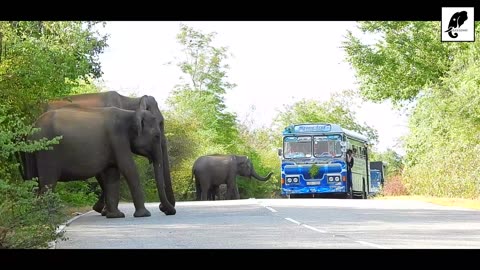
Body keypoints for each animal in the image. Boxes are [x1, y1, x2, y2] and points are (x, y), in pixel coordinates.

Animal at [20, 105, 176, 217]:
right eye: (156, 136)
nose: (166, 210)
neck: (131, 113)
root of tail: (32, 128)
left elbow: (113, 173)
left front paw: (116, 216)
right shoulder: (117, 138)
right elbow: (128, 168)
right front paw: (144, 215)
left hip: (31, 152)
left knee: (33, 182)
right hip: (47, 151)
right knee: (48, 183)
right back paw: (48, 217)